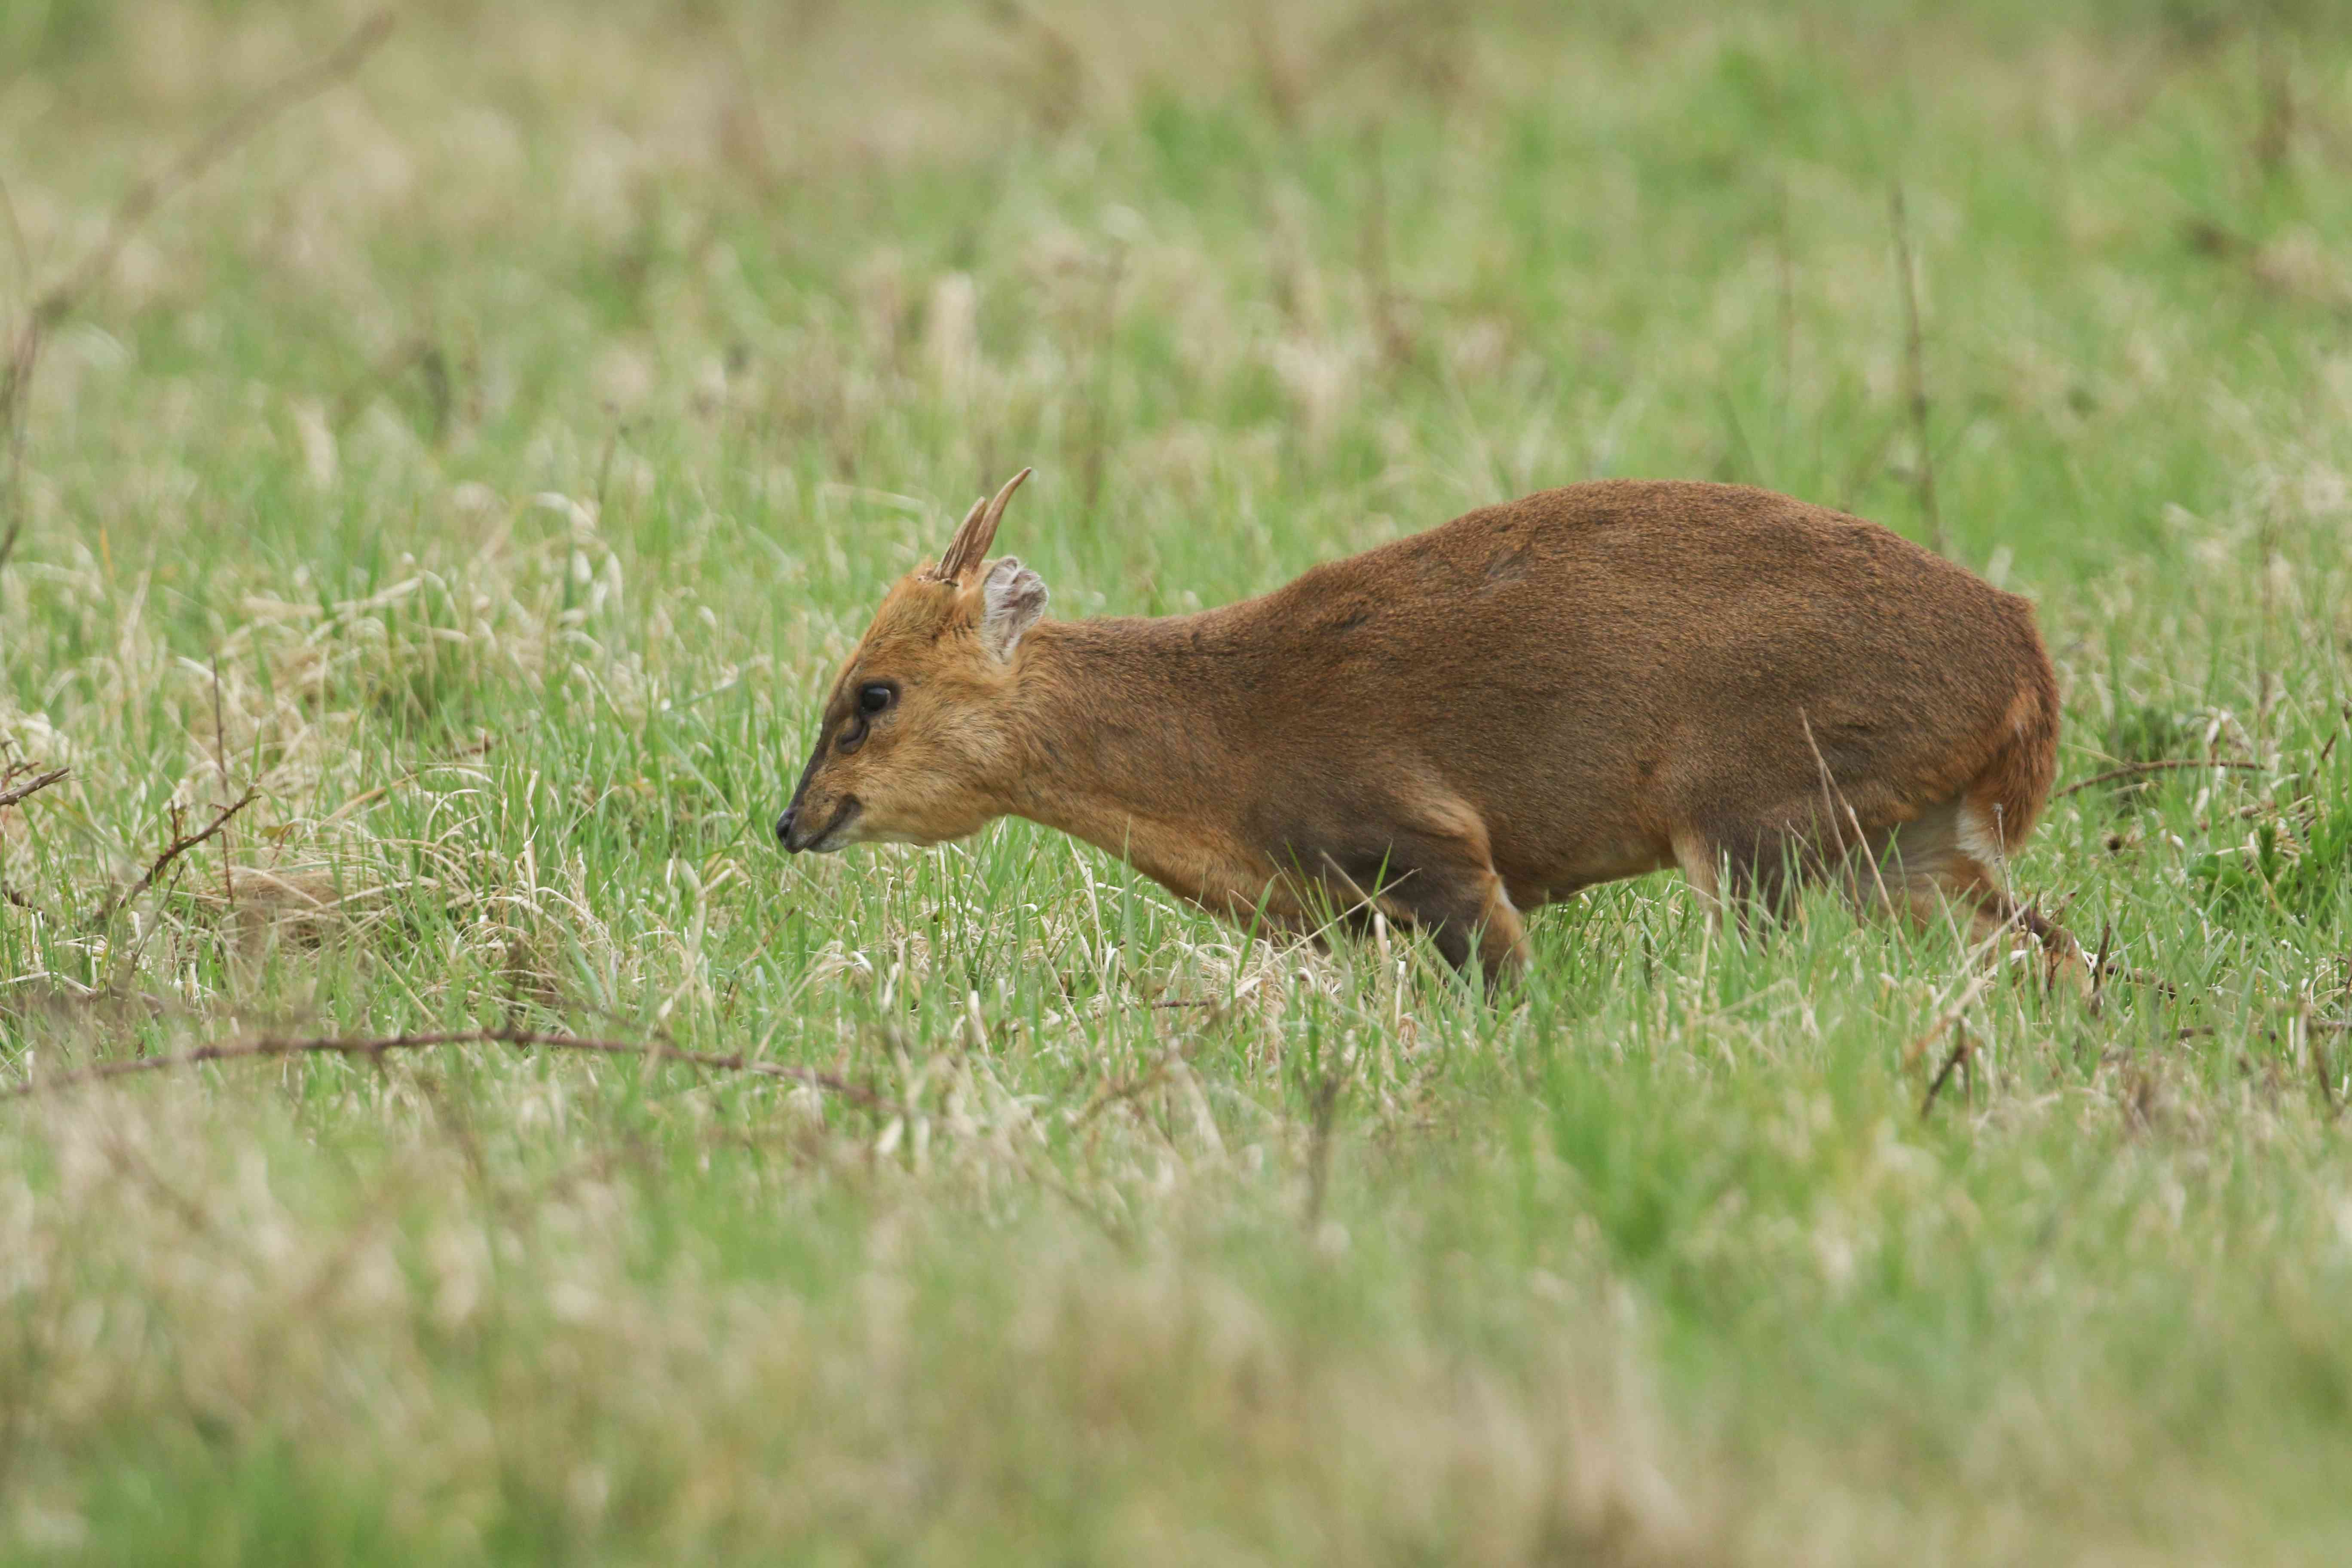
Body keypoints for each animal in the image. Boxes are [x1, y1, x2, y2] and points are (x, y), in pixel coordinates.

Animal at [771, 470, 2060, 983]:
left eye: (871, 696)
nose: (791, 822)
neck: (1225, 747)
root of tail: (2026, 660)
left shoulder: (1422, 844)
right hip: (1907, 844)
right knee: (2057, 956)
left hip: (1758, 814)